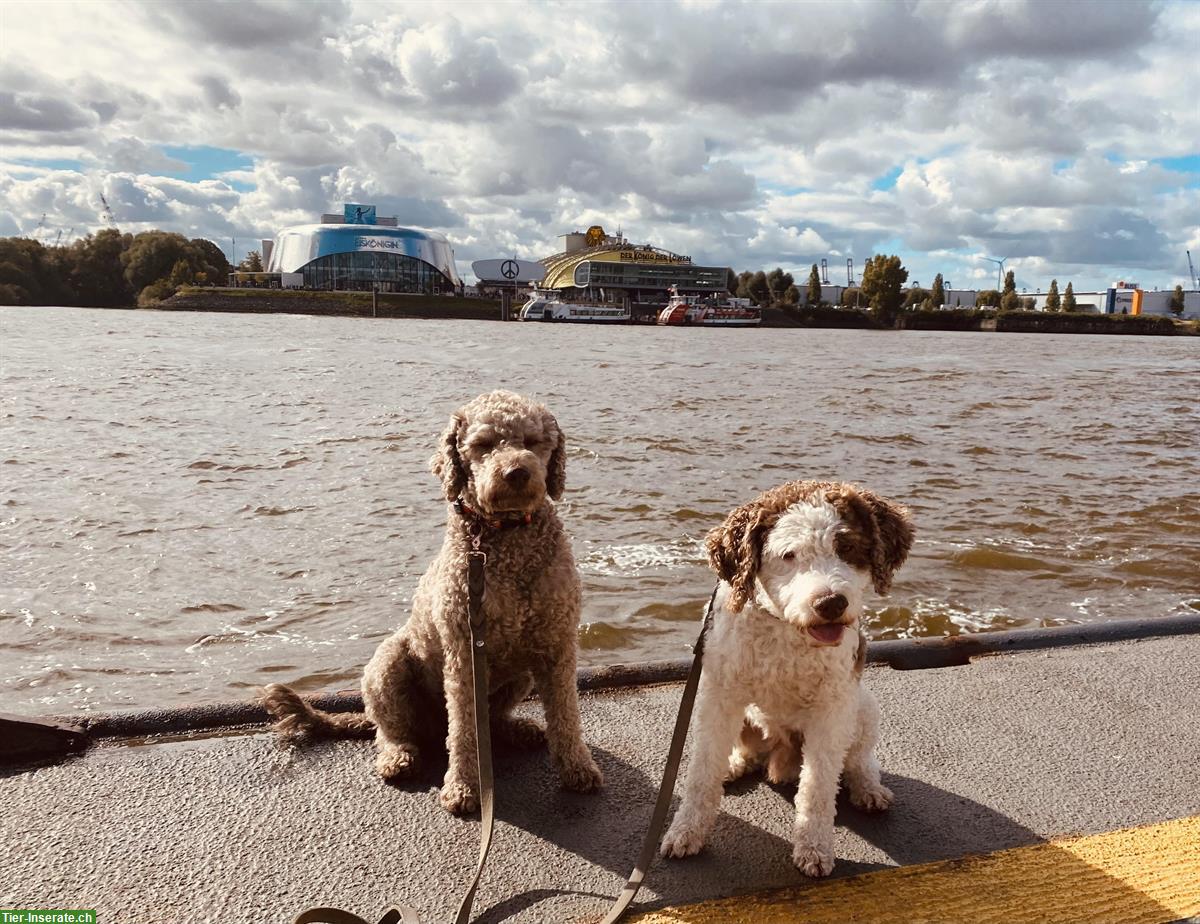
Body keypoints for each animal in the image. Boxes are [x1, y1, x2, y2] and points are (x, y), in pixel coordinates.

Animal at [662, 480, 912, 873]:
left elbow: (819, 785)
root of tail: (781, 758)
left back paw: (868, 789)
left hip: (862, 706)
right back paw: (734, 766)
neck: (786, 630)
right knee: (745, 751)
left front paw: (815, 848)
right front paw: (686, 832)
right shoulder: (718, 695)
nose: (830, 603)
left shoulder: (832, 707)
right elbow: (702, 772)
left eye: (847, 547)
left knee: (857, 759)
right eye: (789, 555)